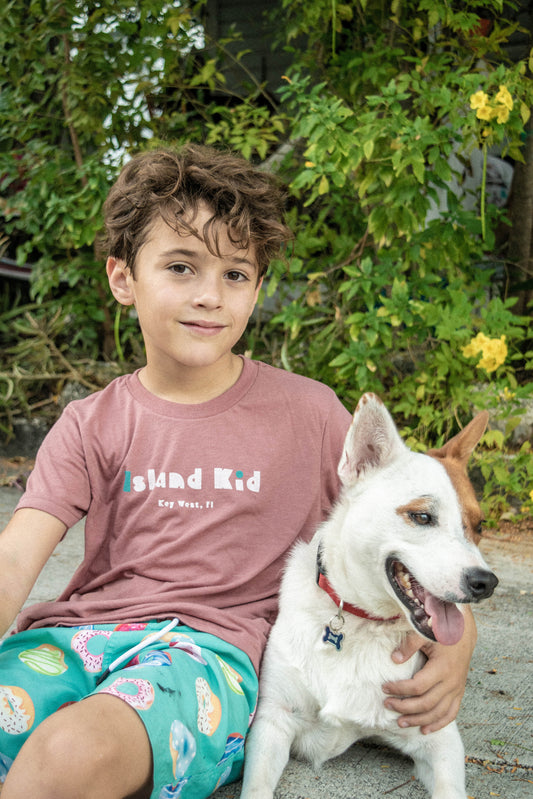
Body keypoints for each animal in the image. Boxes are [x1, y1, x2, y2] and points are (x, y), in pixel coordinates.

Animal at [240, 393, 498, 799]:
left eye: (480, 525)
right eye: (422, 517)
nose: (486, 583)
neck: (362, 623)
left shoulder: (438, 738)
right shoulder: (272, 722)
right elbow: (256, 787)